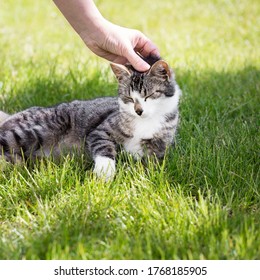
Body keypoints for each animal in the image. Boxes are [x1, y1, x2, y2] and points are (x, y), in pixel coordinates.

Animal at [0, 55, 181, 180]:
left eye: (149, 95)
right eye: (129, 98)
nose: (138, 111)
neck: (145, 122)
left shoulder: (158, 148)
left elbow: (150, 163)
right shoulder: (100, 130)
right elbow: (104, 147)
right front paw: (105, 172)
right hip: (31, 132)